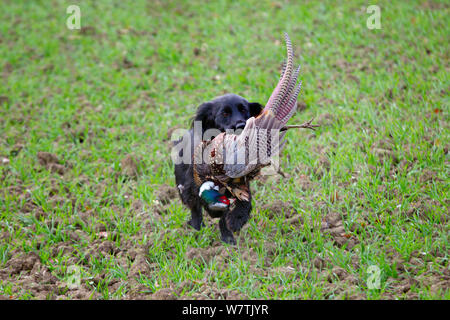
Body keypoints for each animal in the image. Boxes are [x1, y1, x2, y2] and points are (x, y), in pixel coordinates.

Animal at [173, 94, 264, 244]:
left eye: (244, 109)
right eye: (224, 113)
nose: (241, 125)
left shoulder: (240, 184)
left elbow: (244, 201)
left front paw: (235, 221)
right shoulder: (192, 185)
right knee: (195, 209)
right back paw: (197, 228)